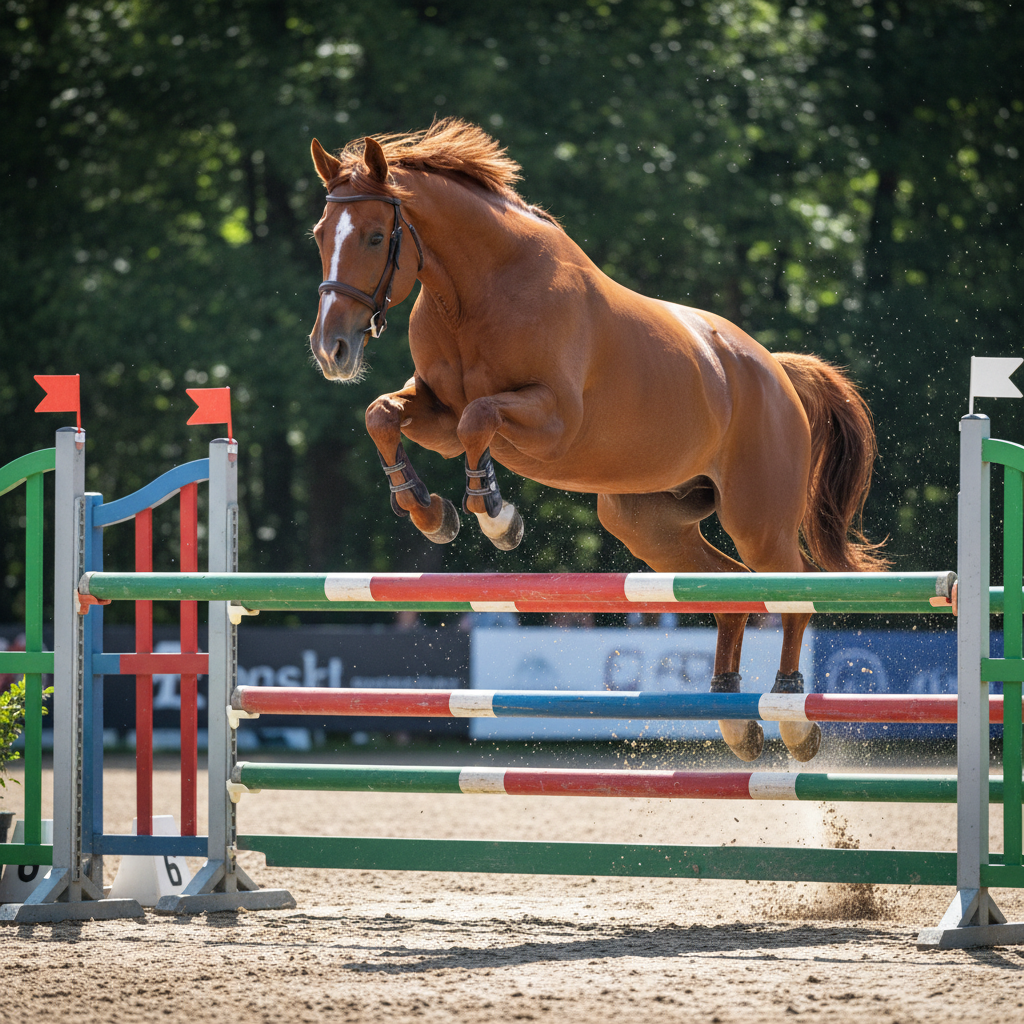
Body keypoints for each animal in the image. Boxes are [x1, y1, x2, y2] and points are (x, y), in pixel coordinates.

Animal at [307, 118, 886, 763]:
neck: (476, 290)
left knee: (793, 587)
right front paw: (429, 512)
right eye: (320, 235)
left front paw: (496, 517)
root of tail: (776, 370)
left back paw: (790, 712)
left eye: (375, 237)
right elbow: (383, 416)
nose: (331, 350)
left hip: (759, 521)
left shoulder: (553, 422)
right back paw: (734, 714)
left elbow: (477, 419)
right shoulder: (434, 410)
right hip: (646, 522)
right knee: (728, 585)